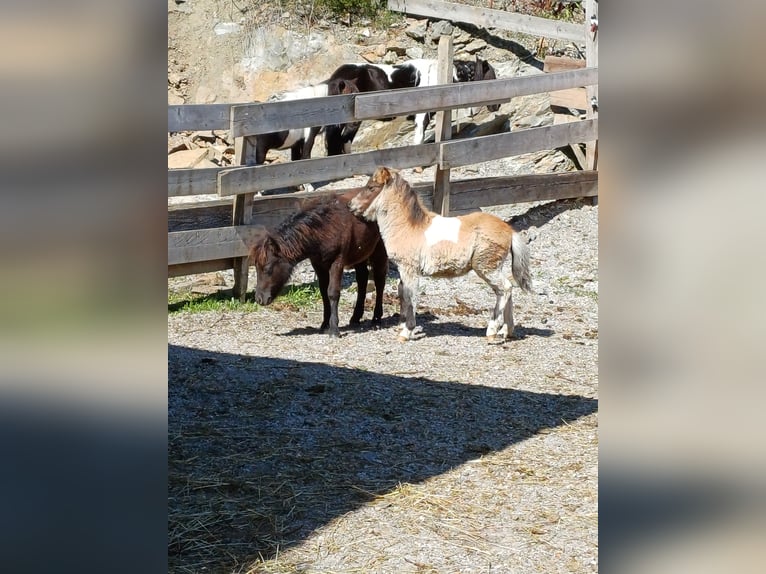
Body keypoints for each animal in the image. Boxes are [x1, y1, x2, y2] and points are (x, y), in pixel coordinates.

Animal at [350, 169, 536, 344]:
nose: (351, 206)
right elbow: (402, 293)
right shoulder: (404, 270)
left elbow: (410, 296)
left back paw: (492, 331)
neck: (408, 227)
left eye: (371, 187)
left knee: (505, 288)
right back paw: (507, 331)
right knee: (507, 289)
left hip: (486, 267)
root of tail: (510, 231)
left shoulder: (409, 269)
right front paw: (402, 327)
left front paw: (406, 332)